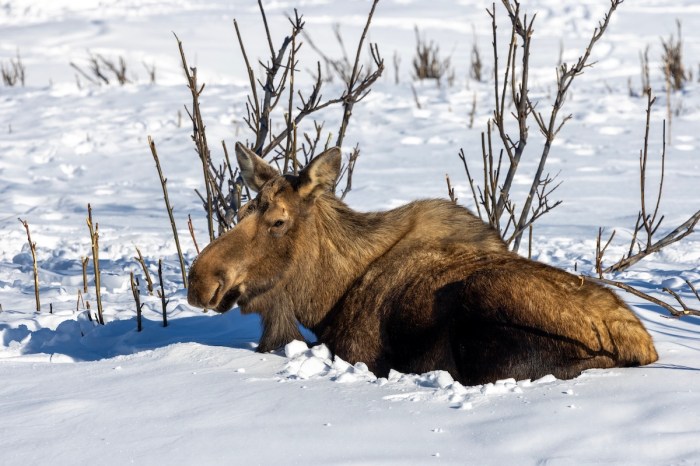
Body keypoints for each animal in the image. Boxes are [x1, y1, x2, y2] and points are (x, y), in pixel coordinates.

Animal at [186, 143, 658, 386]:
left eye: (278, 221)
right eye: (244, 208)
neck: (327, 297)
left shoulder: (359, 353)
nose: (200, 281)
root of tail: (644, 348)